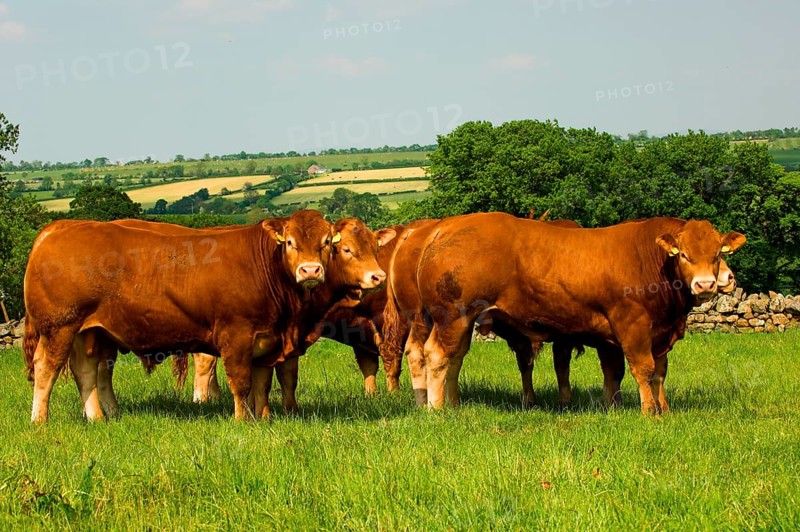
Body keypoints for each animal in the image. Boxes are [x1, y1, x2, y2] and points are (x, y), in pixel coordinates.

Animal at [23, 210, 337, 422]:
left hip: (89, 331)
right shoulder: (236, 336)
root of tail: (62, 226)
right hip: (59, 326)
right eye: (290, 242)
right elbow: (241, 382)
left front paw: (263, 418)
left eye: (326, 242)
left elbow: (262, 383)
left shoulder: (266, 339)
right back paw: (39, 419)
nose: (310, 270)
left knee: (86, 370)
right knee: (46, 368)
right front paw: (242, 420)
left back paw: (98, 417)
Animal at [383, 213, 745, 414]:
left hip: (453, 320)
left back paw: (446, 402)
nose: (706, 283)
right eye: (683, 254)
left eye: (717, 253)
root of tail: (441, 229)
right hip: (450, 316)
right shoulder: (632, 325)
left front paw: (654, 407)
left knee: (446, 357)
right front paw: (648, 411)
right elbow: (641, 369)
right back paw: (436, 408)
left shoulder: (653, 335)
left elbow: (650, 372)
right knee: (434, 355)